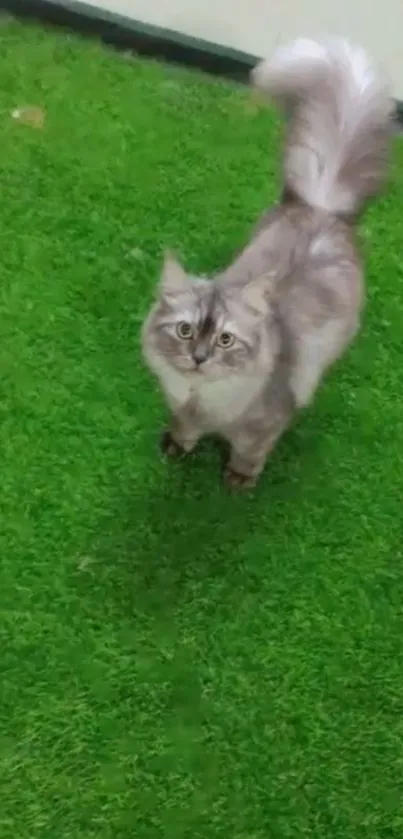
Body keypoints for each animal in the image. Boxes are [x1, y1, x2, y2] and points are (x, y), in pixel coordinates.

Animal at [141, 36, 392, 488]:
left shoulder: (266, 423)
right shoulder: (181, 407)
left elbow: (250, 452)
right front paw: (177, 446)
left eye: (225, 340)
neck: (202, 398)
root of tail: (321, 207)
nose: (199, 358)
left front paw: (238, 479)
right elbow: (183, 428)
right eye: (186, 331)